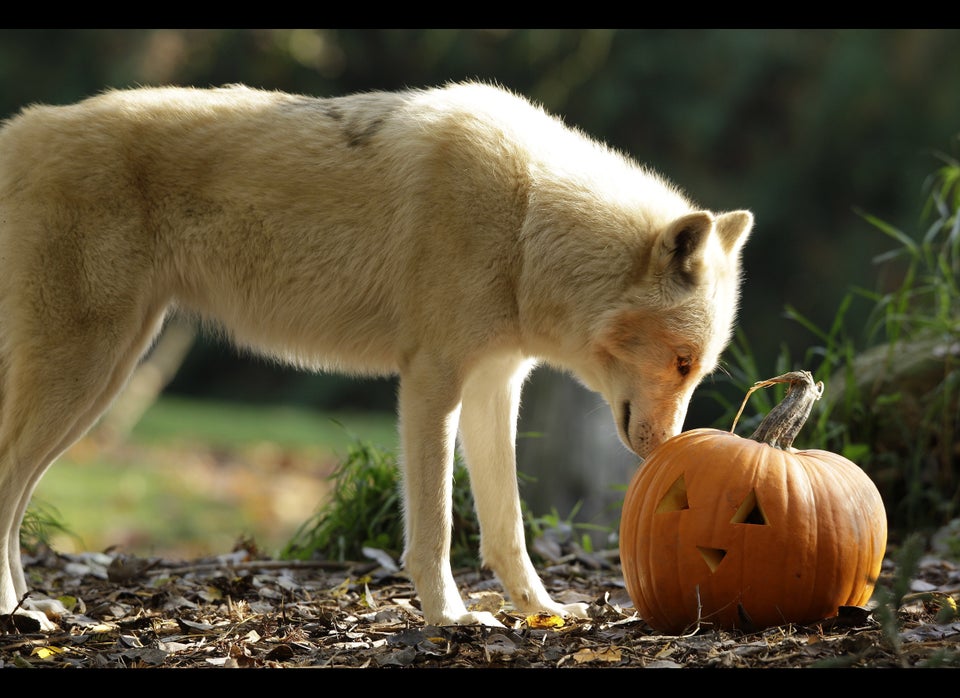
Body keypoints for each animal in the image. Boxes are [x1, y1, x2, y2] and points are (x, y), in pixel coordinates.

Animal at [0, 80, 752, 624]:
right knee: (9, 482)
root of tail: (19, 130)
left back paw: (28, 609)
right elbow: (437, 527)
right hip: (89, 371)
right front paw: (452, 619)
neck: (528, 222)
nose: (668, 449)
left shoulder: (495, 387)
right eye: (682, 363)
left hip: (103, 376)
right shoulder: (430, 383)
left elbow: (506, 526)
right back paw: (16, 611)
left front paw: (541, 613)